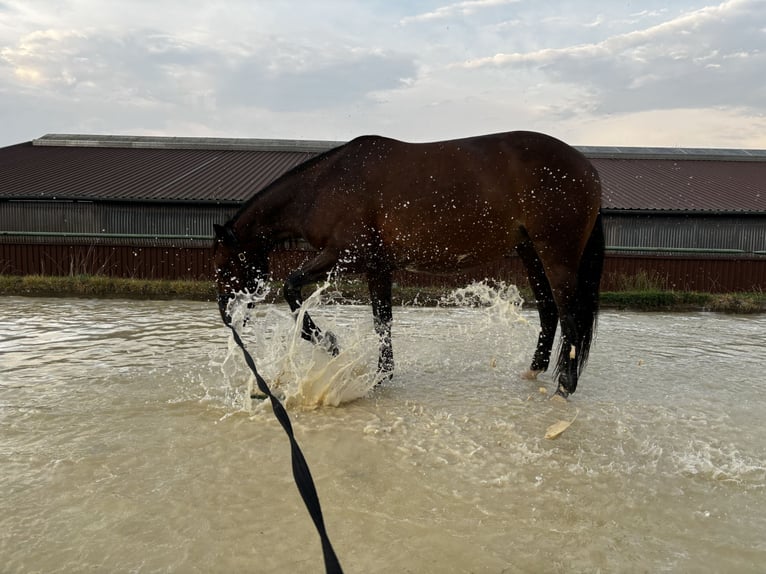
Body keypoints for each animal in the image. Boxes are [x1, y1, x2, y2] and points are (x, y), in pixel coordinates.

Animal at [213, 131, 604, 398]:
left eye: (225, 266)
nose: (226, 316)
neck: (325, 186)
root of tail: (586, 167)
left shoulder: (345, 255)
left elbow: (292, 286)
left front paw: (329, 343)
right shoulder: (377, 267)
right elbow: (382, 321)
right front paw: (382, 375)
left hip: (556, 255)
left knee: (569, 314)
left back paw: (565, 387)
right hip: (531, 253)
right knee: (549, 311)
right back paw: (534, 372)